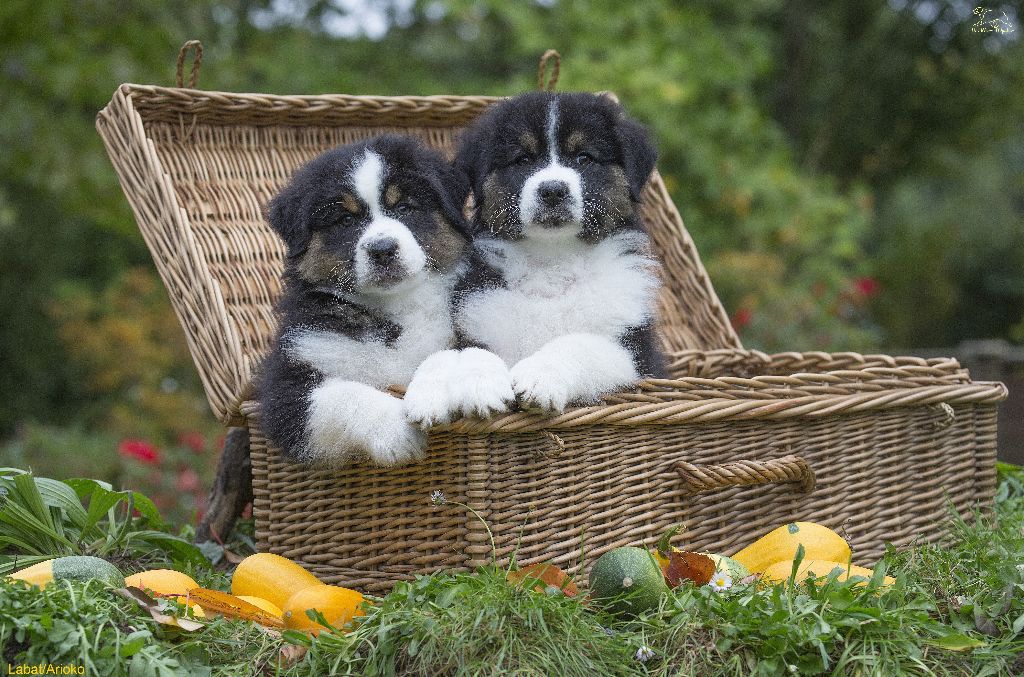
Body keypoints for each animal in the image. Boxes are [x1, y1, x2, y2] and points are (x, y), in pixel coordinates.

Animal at [256, 134, 468, 467]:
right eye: (345, 219)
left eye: (404, 207)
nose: (383, 250)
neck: (394, 306)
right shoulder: (286, 387)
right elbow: (345, 394)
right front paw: (397, 432)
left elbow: (445, 355)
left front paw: (430, 399)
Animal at [403, 90, 667, 421]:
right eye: (523, 159)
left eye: (584, 158)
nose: (552, 190)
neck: (552, 258)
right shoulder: (477, 318)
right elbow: (469, 351)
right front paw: (479, 385)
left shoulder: (634, 354)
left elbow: (577, 343)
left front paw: (540, 377)